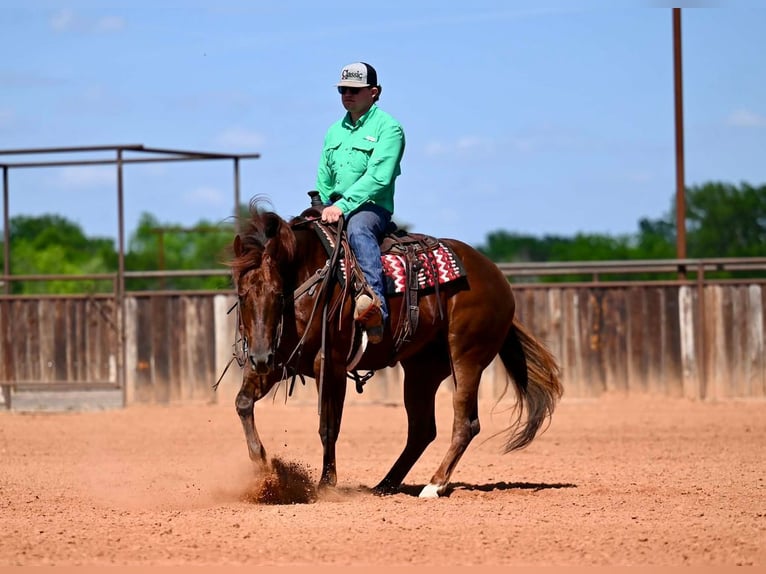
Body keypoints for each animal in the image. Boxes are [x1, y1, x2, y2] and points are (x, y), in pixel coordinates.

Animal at [226, 198, 563, 498]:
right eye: (242, 295)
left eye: (278, 293)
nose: (258, 357)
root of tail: (497, 279)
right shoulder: (279, 361)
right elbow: (242, 403)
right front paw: (263, 468)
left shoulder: (331, 364)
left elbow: (328, 427)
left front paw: (325, 485)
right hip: (422, 369)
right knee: (422, 430)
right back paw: (386, 485)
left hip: (467, 357)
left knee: (465, 423)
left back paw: (434, 485)